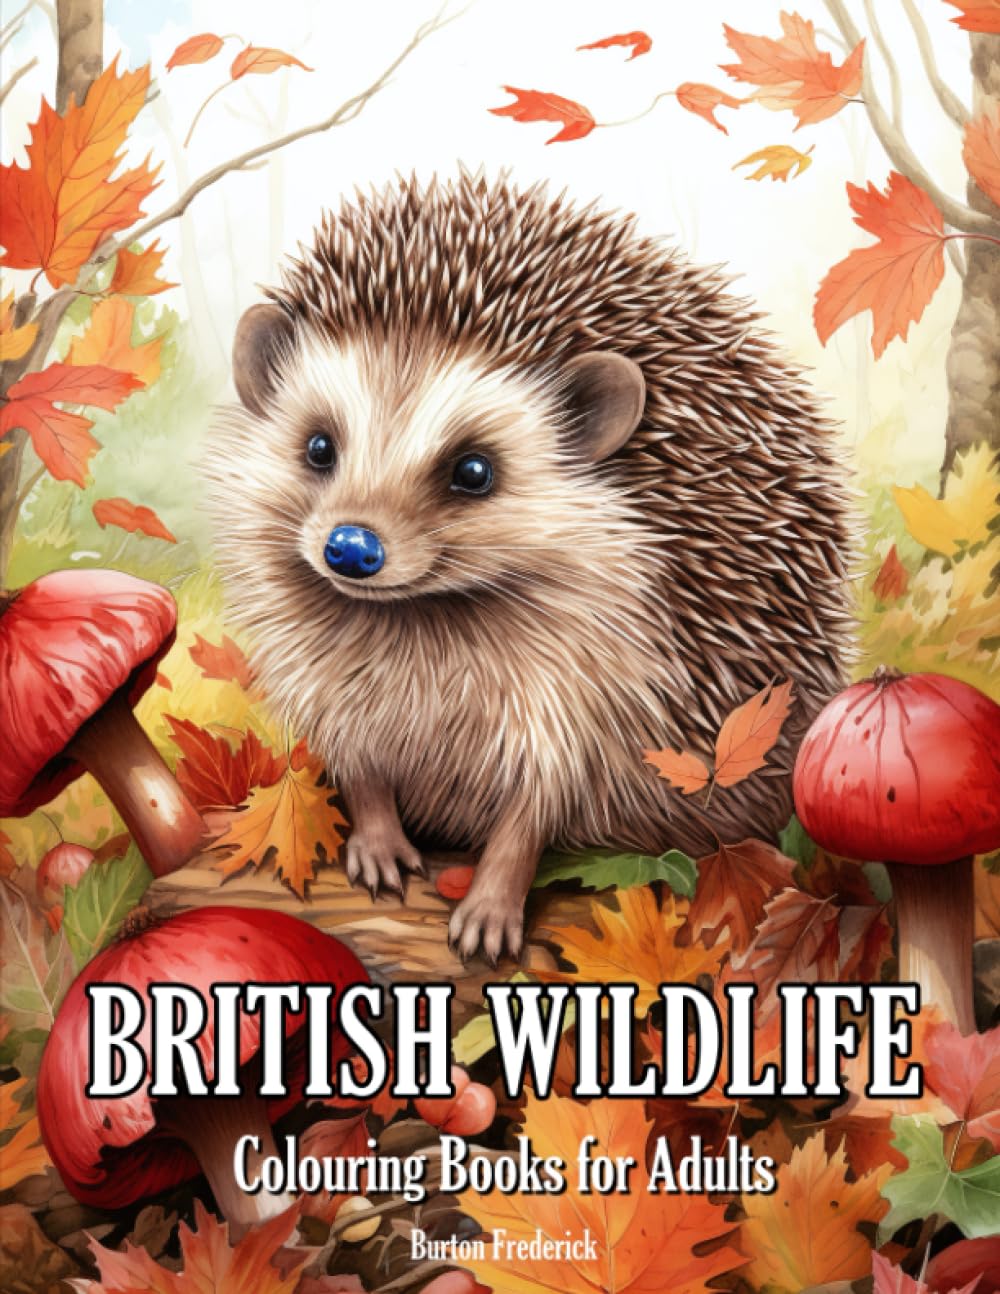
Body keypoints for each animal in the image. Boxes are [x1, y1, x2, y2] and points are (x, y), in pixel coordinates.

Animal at [205, 170, 852, 963]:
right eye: (319, 446)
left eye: (474, 470)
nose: (351, 548)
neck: (424, 621)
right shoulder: (322, 662)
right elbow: (358, 756)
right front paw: (379, 842)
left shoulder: (607, 677)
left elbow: (540, 797)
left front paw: (491, 907)